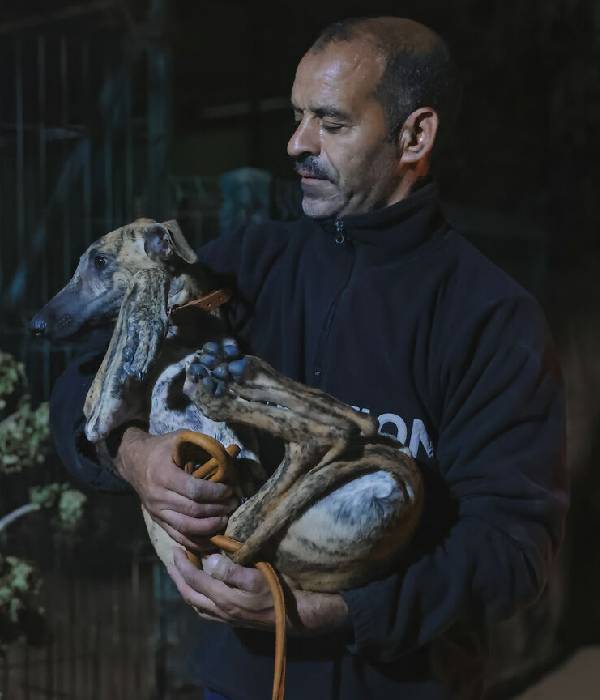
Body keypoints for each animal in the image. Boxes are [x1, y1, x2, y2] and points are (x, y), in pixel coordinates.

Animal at [31, 217, 422, 592]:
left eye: (100, 261)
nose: (36, 324)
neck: (185, 333)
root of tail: (406, 498)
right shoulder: (99, 413)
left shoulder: (100, 409)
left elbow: (142, 286)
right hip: (241, 524)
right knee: (338, 429)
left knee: (335, 429)